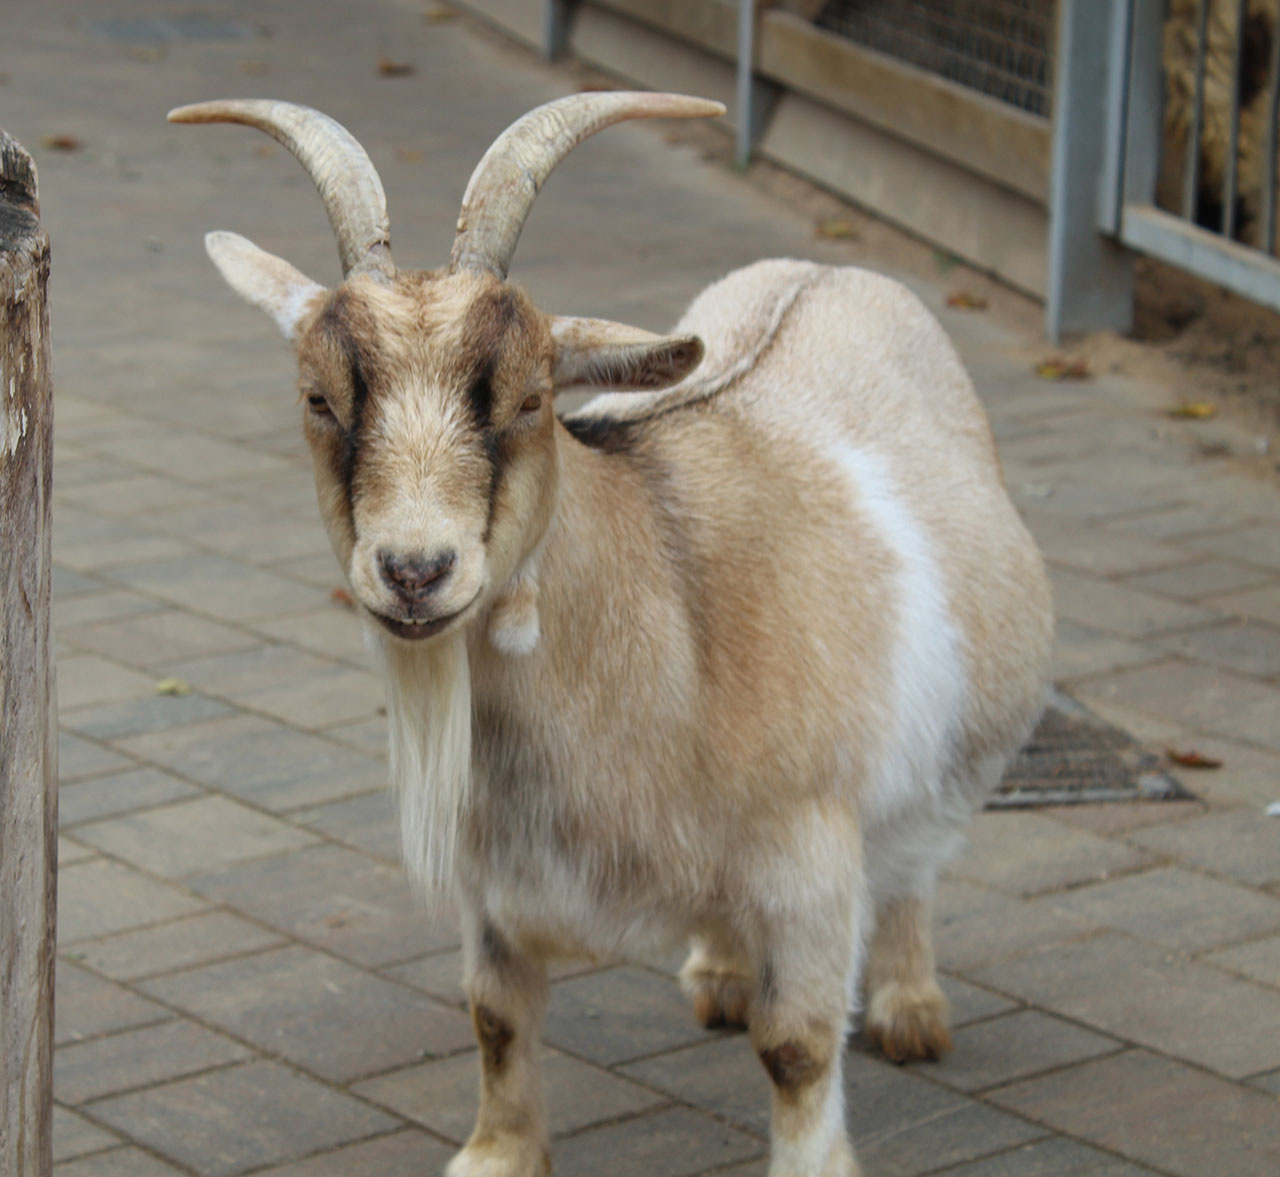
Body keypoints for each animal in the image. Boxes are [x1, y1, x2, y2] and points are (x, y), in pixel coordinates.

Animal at [170, 92, 1053, 1177]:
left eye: (533, 398)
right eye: (319, 398)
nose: (415, 571)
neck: (669, 625)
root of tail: (828, 268)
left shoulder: (809, 850)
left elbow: (797, 1044)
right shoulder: (493, 876)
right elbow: (496, 1013)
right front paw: (497, 1153)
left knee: (918, 860)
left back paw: (908, 1005)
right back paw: (720, 972)